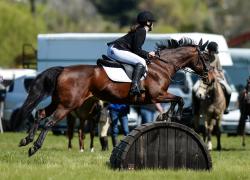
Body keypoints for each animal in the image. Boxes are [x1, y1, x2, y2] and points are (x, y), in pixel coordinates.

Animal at [17, 38, 211, 156]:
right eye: (206, 58)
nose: (208, 77)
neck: (162, 66)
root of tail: (64, 69)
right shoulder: (157, 96)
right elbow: (179, 99)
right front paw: (173, 116)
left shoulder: (158, 97)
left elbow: (176, 100)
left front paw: (167, 115)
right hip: (68, 105)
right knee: (49, 121)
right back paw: (34, 147)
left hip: (60, 101)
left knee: (41, 113)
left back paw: (26, 140)